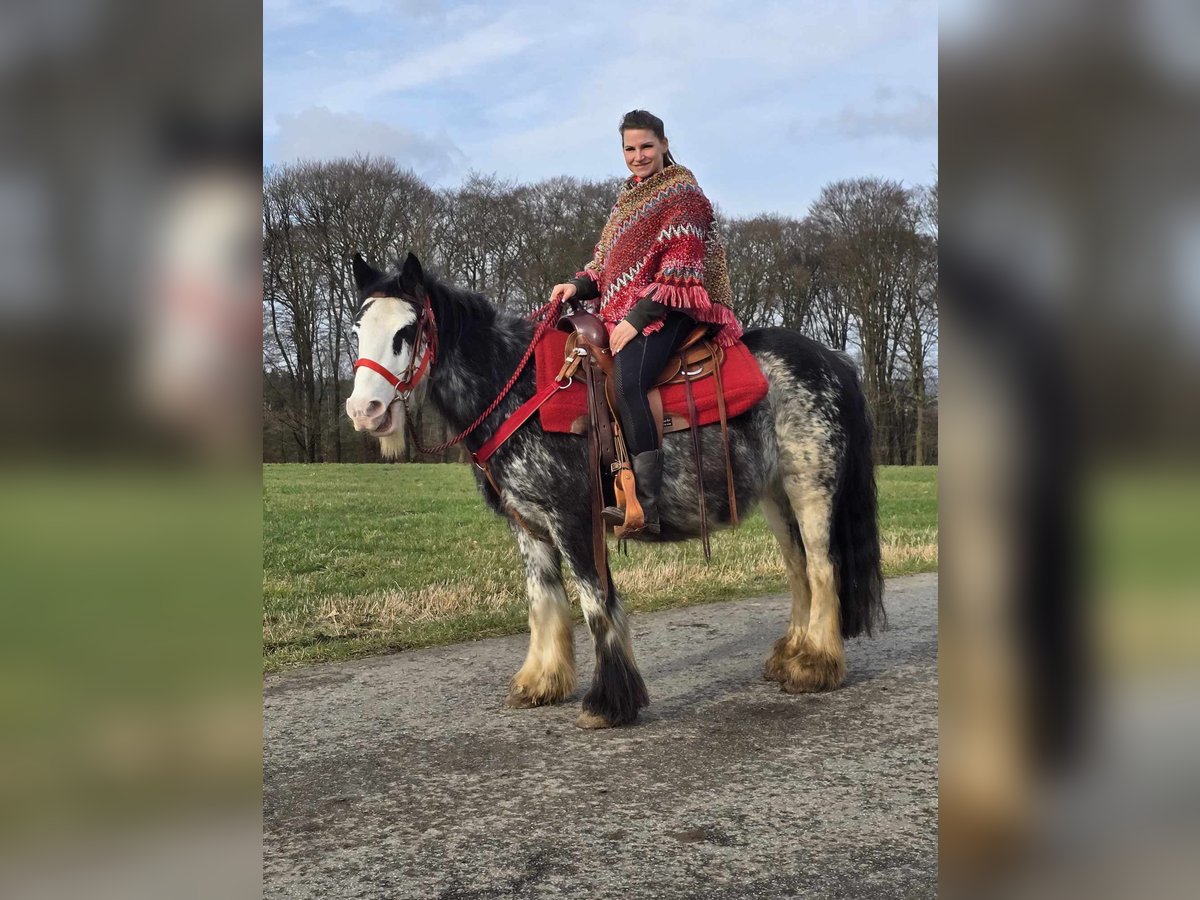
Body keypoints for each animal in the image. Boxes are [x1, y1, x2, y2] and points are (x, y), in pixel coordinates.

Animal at [343, 250, 888, 729]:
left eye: (406, 331)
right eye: (357, 330)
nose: (364, 411)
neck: (519, 392)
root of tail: (834, 360)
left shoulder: (573, 520)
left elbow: (596, 606)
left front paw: (609, 703)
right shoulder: (529, 526)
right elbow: (544, 601)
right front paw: (540, 682)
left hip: (811, 488)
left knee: (821, 568)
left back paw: (815, 665)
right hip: (777, 497)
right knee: (797, 569)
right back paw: (792, 654)